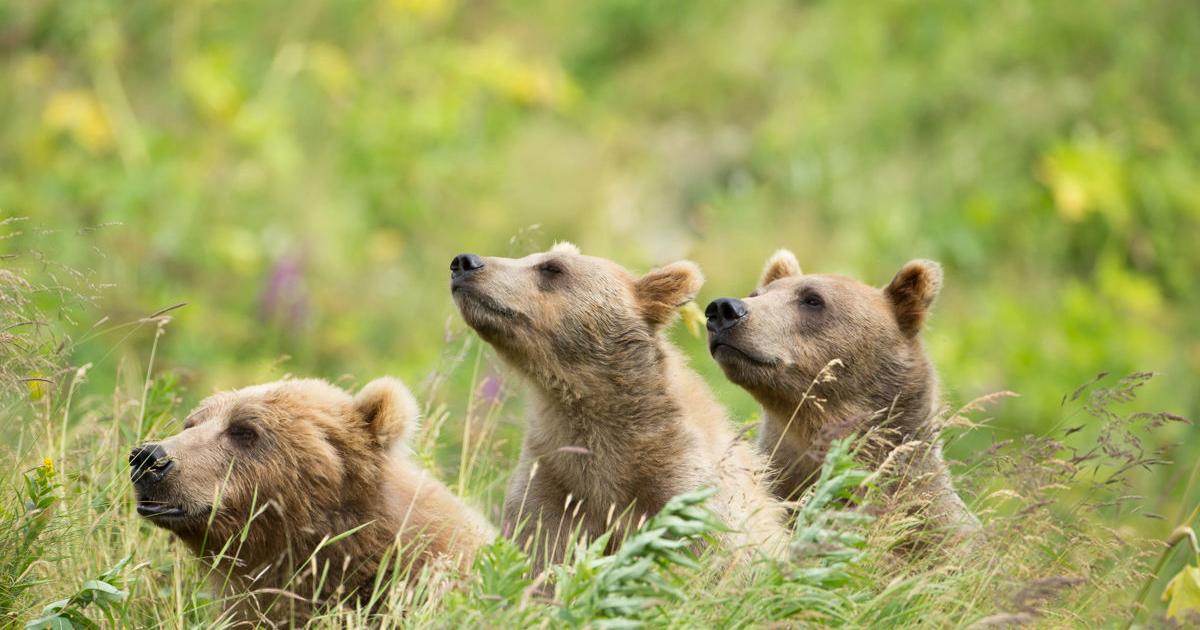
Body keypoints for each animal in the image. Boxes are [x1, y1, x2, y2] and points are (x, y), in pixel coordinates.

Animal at [449, 243, 788, 572]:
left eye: (551, 267)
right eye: (531, 257)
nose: (465, 262)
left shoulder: (681, 482)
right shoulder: (553, 478)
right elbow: (542, 552)